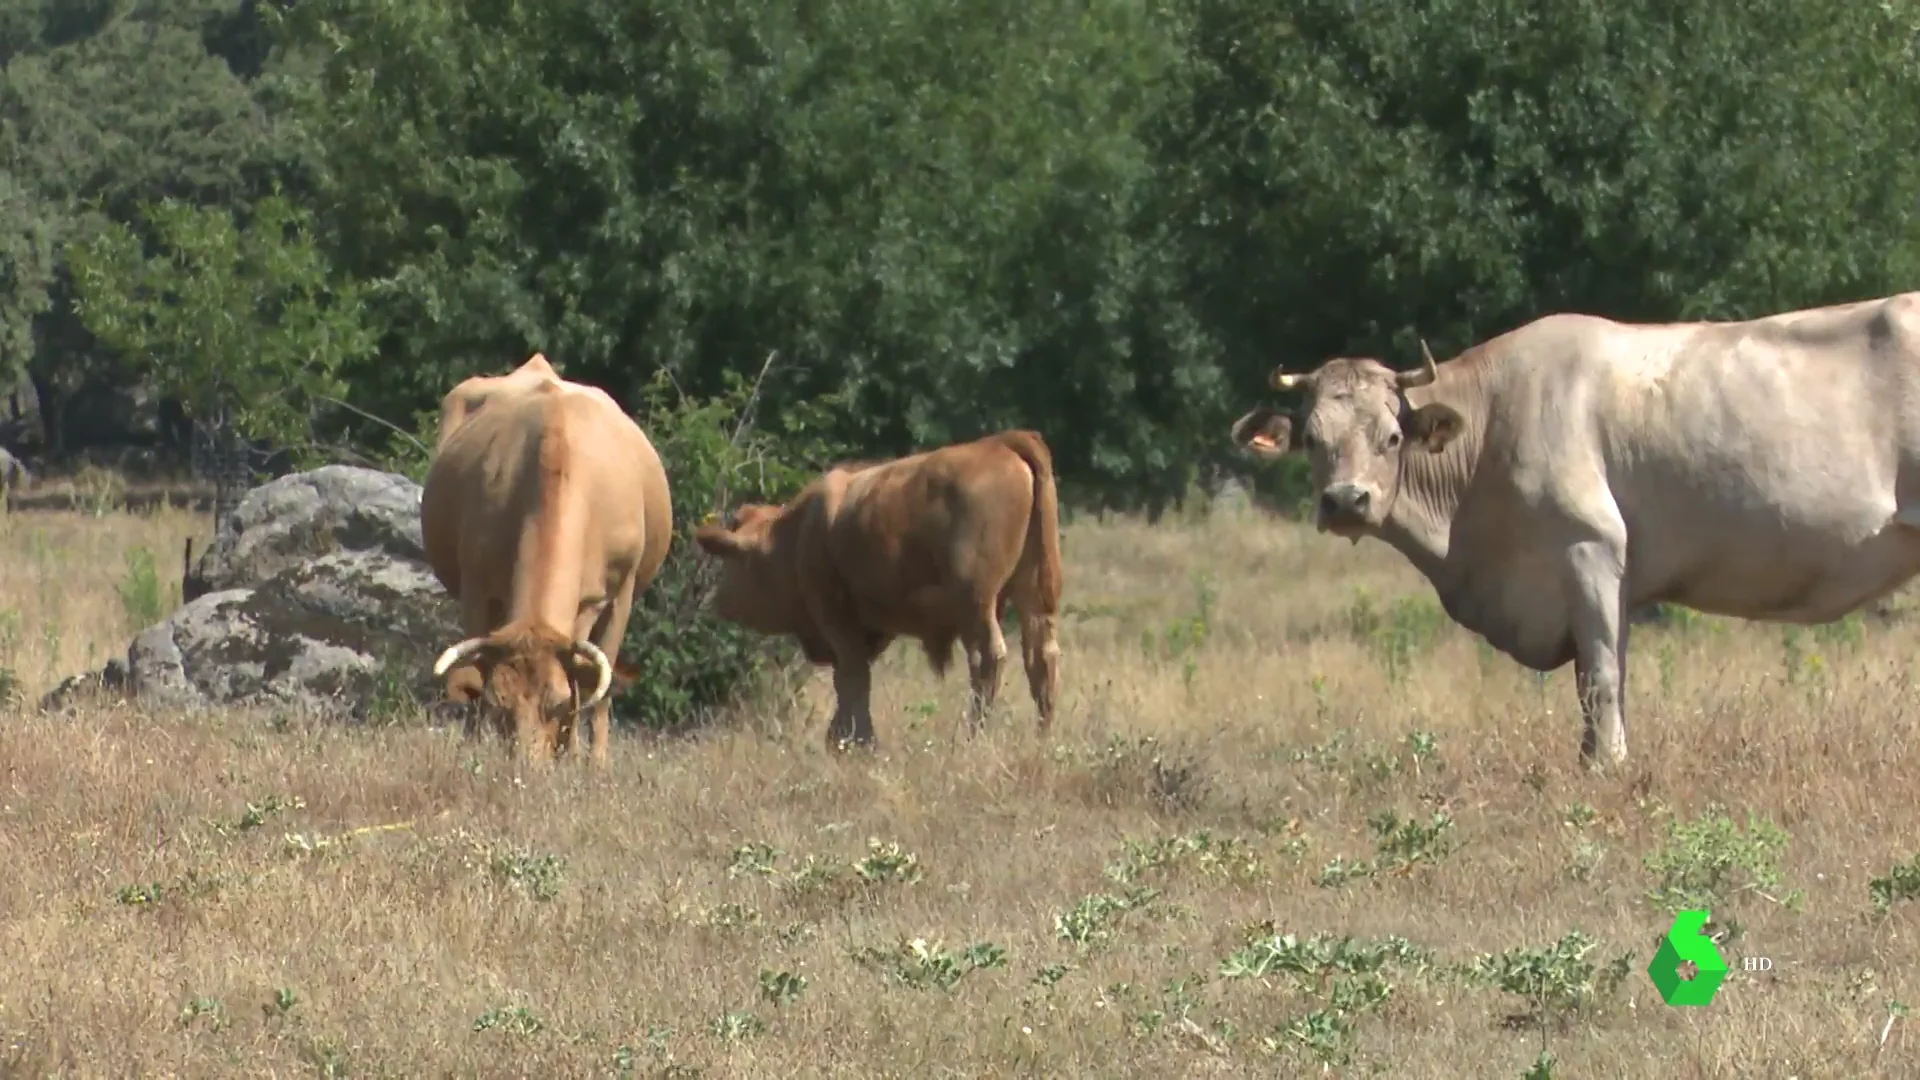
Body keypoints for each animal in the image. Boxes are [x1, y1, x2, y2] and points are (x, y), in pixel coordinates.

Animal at [420, 351, 675, 757]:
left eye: (557, 703)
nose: (527, 764)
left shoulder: (612, 594)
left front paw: (584, 759)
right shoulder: (476, 588)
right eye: (499, 704)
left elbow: (592, 689)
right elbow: (475, 672)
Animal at [691, 424, 1067, 745]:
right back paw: (1043, 735)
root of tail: (1002, 442)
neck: (794, 535)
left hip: (977, 602)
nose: (719, 600)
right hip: (1036, 594)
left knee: (987, 657)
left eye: (731, 563)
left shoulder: (836, 617)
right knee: (1041, 656)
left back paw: (973, 736)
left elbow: (852, 677)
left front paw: (854, 740)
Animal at [1228, 290, 1920, 768]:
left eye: (1392, 437)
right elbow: (1598, 672)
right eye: (1312, 439)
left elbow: (1601, 676)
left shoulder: (1588, 546)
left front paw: (1607, 766)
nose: (1346, 500)